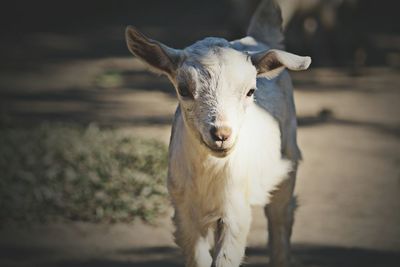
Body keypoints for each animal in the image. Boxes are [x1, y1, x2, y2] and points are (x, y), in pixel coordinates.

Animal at [125, 1, 310, 266]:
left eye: (251, 91)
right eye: (183, 89)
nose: (221, 134)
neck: (210, 171)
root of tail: (257, 38)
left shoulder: (236, 211)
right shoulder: (184, 213)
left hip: (288, 160)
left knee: (280, 217)